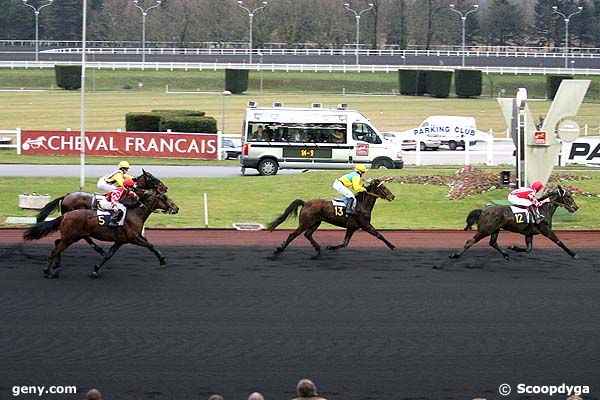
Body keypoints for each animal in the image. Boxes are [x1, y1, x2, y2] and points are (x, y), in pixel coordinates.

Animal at [24, 188, 178, 278]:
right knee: (55, 250)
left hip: (70, 237)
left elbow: (108, 255)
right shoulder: (134, 238)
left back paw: (56, 268)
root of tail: (66, 215)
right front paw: (162, 261)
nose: (176, 208)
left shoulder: (120, 241)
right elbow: (151, 246)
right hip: (71, 237)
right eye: (164, 198)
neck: (134, 213)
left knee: (57, 244)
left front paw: (96, 269)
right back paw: (48, 271)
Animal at [268, 177, 398, 258]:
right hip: (305, 223)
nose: (392, 196)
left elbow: (345, 243)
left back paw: (318, 250)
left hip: (316, 222)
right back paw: (278, 251)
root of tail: (305, 203)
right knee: (293, 235)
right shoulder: (365, 225)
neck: (362, 204)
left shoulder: (352, 227)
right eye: (383, 188)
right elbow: (379, 235)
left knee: (308, 234)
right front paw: (393, 246)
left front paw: (330, 247)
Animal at [448, 186, 580, 260]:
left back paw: (506, 255)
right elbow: (559, 242)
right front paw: (574, 254)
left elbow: (528, 249)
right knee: (470, 241)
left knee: (493, 243)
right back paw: (456, 255)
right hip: (485, 230)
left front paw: (513, 247)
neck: (543, 209)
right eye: (568, 197)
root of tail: (483, 210)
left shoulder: (529, 233)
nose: (576, 207)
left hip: (495, 230)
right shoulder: (546, 230)